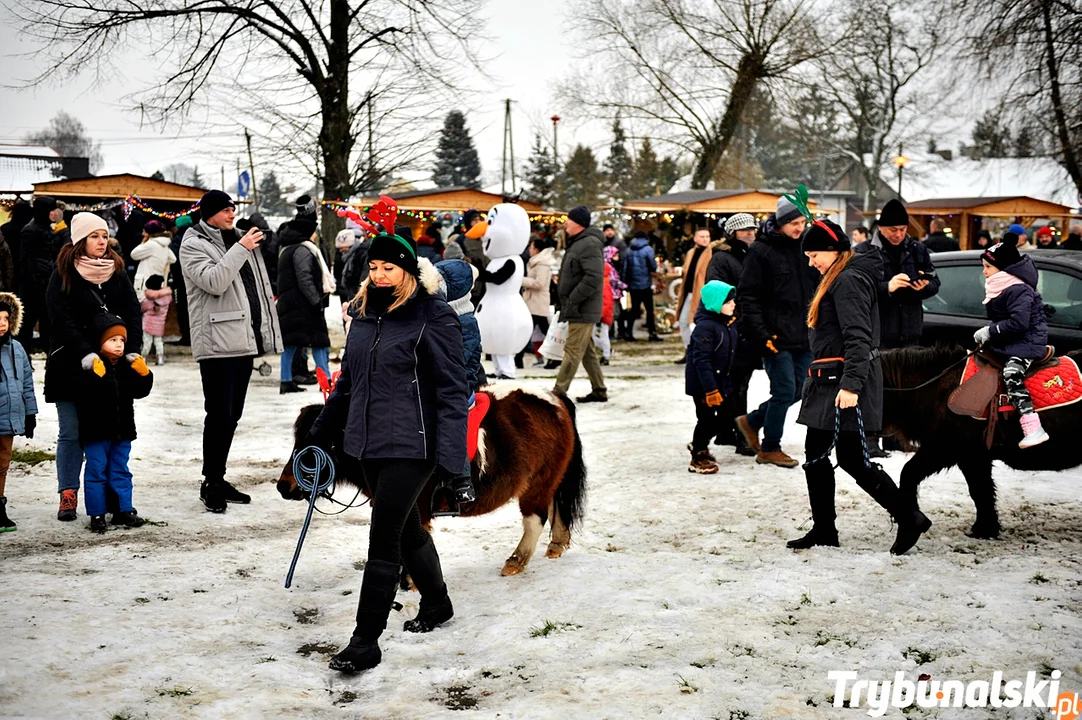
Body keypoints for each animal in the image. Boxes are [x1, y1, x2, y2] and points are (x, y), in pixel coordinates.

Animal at [274, 385, 588, 576]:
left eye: (320, 443)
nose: (283, 485)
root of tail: (555, 398)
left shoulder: (416, 507)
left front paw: (409, 582)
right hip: (550, 478)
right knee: (555, 506)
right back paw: (557, 544)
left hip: (537, 482)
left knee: (535, 519)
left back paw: (516, 560)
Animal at [878, 344, 1082, 539]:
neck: (936, 390)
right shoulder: (969, 456)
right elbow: (982, 491)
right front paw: (986, 528)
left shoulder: (951, 451)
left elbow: (911, 474)